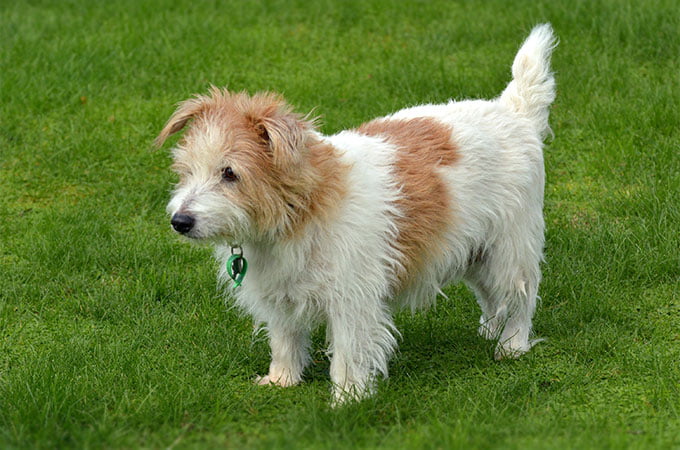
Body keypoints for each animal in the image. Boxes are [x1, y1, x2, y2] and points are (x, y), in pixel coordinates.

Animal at [155, 24, 556, 404]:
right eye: (186, 171)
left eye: (230, 173)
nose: (180, 222)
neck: (302, 209)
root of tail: (513, 112)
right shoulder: (279, 293)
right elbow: (284, 339)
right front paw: (282, 381)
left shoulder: (352, 298)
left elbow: (348, 353)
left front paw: (348, 399)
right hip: (476, 251)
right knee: (491, 297)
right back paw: (488, 331)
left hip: (510, 250)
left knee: (520, 297)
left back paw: (511, 346)